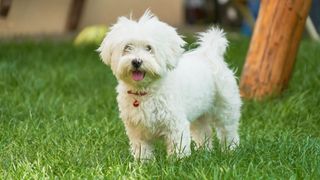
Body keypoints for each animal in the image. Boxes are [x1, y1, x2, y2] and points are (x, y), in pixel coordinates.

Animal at [99, 11, 241, 160]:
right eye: (127, 47)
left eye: (149, 48)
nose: (136, 61)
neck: (146, 91)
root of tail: (210, 53)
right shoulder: (137, 129)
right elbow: (142, 149)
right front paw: (143, 162)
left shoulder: (175, 124)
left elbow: (178, 145)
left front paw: (178, 161)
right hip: (200, 112)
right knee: (203, 131)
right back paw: (204, 151)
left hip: (225, 107)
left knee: (228, 130)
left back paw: (230, 150)